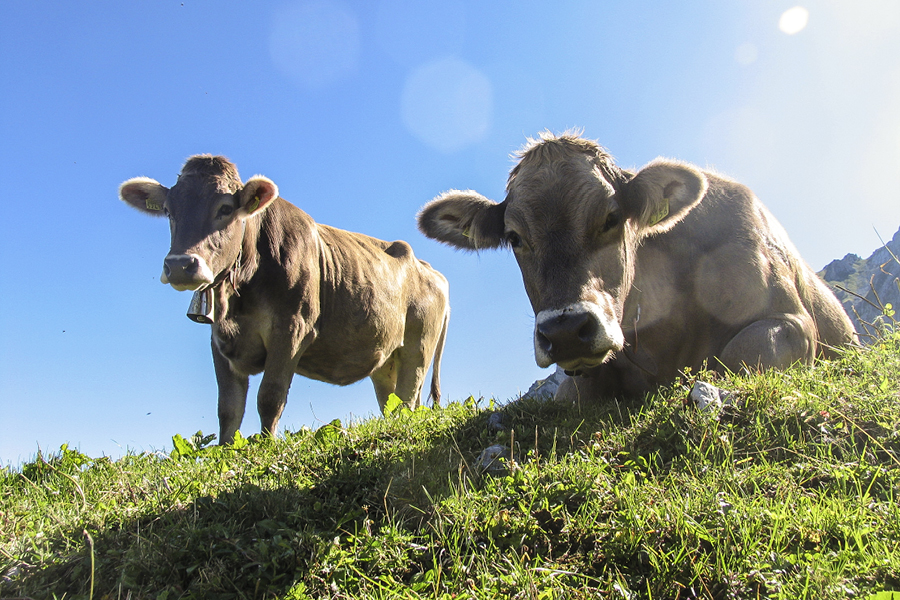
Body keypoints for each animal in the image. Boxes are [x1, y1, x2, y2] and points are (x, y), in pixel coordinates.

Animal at [119, 157, 450, 442]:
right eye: (169, 211)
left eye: (225, 209)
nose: (180, 265)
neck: (239, 298)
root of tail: (429, 268)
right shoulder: (219, 339)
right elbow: (228, 408)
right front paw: (226, 451)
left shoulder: (293, 328)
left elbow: (270, 396)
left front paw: (265, 445)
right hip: (385, 360)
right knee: (392, 403)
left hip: (418, 348)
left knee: (408, 399)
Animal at [418, 132, 856, 404]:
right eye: (514, 237)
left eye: (611, 217)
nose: (564, 331)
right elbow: (572, 394)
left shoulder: (790, 319)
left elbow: (740, 355)